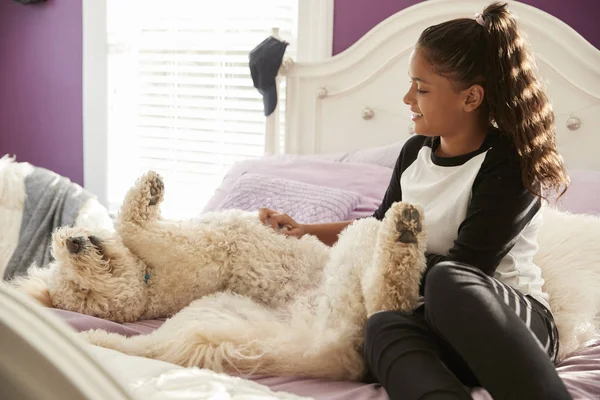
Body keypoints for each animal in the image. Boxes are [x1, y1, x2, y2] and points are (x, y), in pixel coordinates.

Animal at [12, 172, 426, 382]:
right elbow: (130, 224)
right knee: (386, 295)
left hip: (218, 317)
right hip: (355, 251)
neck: (150, 280)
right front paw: (149, 190)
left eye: (72, 277)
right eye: (82, 292)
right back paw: (403, 234)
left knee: (152, 350)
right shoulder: (169, 242)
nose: (72, 244)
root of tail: (322, 348)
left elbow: (129, 228)